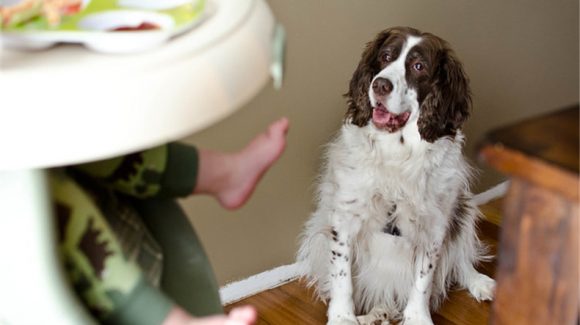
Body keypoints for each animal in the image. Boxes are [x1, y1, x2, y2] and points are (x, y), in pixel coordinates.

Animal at [300, 26, 494, 322]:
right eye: (386, 56)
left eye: (418, 66)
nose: (379, 85)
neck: (396, 152)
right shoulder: (345, 216)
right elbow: (342, 276)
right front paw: (343, 317)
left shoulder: (434, 224)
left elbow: (424, 279)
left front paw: (418, 318)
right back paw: (373, 315)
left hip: (464, 207)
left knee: (458, 259)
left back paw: (479, 282)